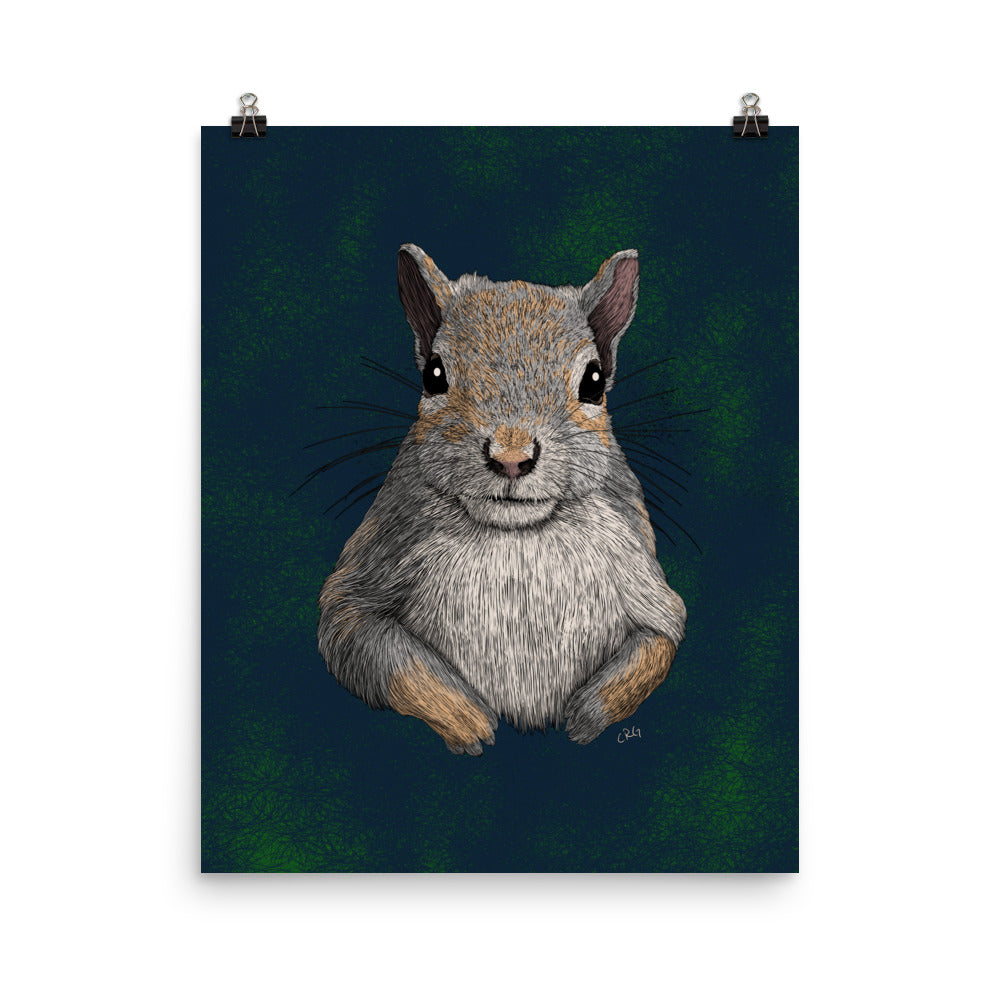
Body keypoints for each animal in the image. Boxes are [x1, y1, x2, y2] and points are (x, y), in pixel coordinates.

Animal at [317, 245, 686, 754]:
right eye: (434, 375)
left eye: (594, 381)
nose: (511, 458)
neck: (516, 534)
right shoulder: (376, 561)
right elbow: (370, 646)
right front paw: (468, 721)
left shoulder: (640, 570)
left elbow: (658, 641)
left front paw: (583, 717)